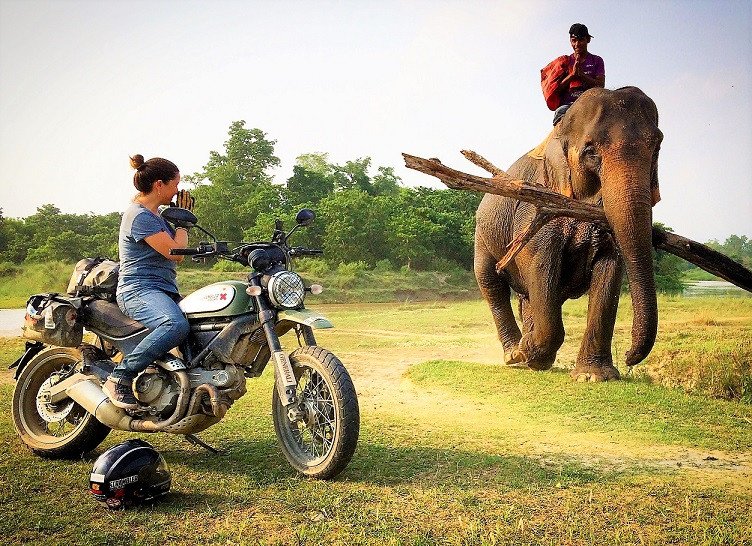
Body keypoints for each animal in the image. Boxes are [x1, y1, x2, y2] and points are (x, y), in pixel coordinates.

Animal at [476, 87, 664, 380]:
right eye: (590, 151)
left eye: (657, 148)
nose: (628, 356)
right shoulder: (537, 206)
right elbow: (540, 263)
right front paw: (531, 352)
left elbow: (610, 269)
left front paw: (594, 376)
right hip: (482, 235)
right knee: (491, 282)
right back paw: (516, 354)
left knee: (528, 295)